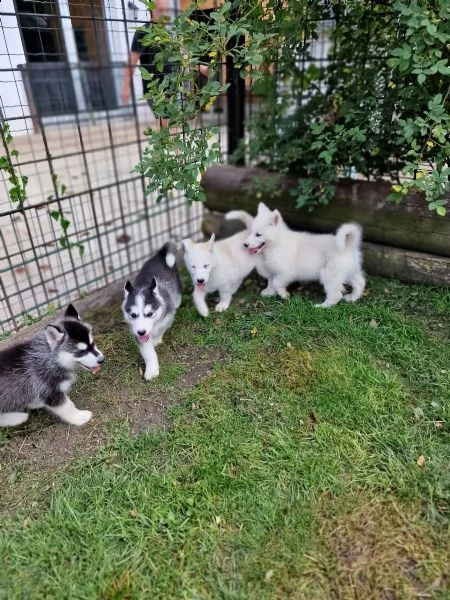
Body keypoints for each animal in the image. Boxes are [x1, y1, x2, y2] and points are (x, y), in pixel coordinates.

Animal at [122, 240, 182, 378]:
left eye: (149, 314)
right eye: (133, 315)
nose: (142, 332)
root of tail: (159, 255)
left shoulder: (167, 316)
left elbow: (160, 328)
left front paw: (156, 339)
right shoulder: (136, 332)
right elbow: (148, 352)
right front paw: (152, 370)